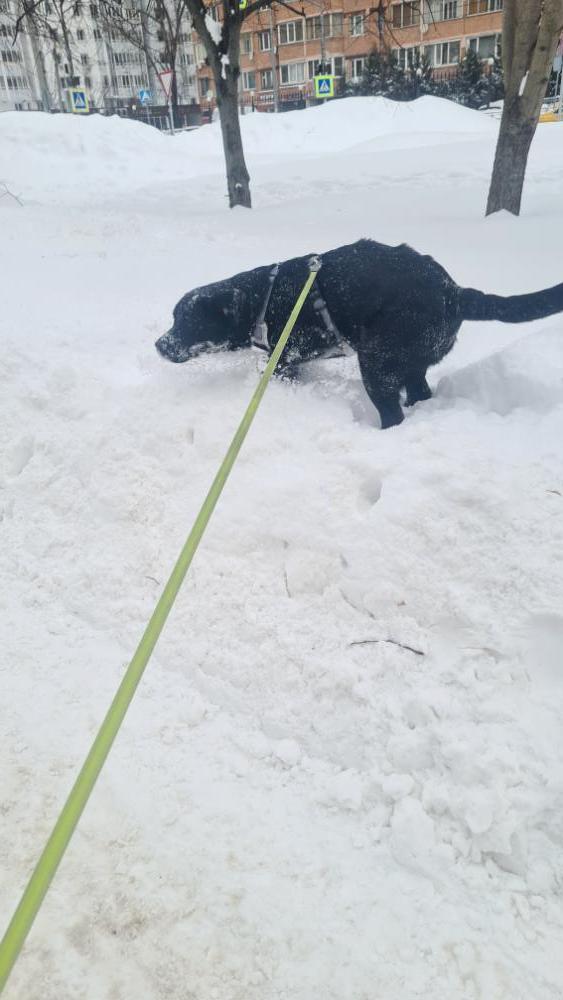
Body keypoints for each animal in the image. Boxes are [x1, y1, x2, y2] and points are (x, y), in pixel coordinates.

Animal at [156, 239, 563, 428]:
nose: (159, 344)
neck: (264, 297)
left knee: (392, 412)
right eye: (173, 318)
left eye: (186, 321)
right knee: (418, 393)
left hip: (377, 363)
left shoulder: (287, 356)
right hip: (409, 364)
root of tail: (456, 293)